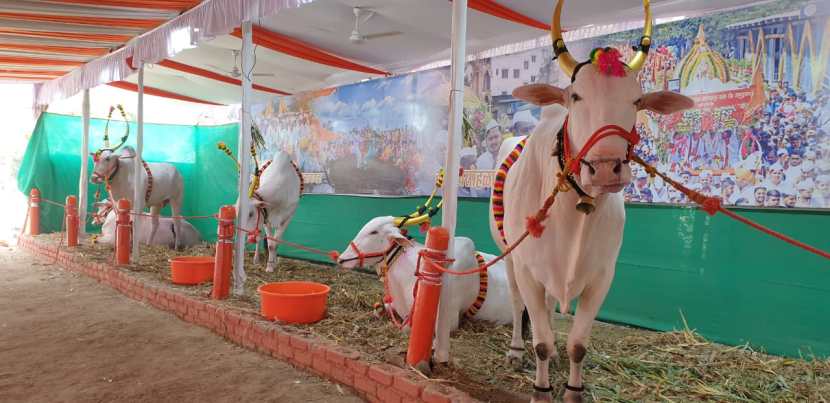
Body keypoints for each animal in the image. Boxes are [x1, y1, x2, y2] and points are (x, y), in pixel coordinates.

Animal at [90, 104, 186, 249]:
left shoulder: (138, 206)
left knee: (177, 221)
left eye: (107, 158)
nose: (94, 178)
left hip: (176, 200)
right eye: (95, 159)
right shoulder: (119, 206)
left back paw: (176, 246)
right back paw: (149, 244)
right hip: (156, 204)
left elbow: (134, 226)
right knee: (155, 224)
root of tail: (177, 172)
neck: (121, 176)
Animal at [490, 1, 700, 402]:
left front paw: (573, 389)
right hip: (509, 255)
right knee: (517, 302)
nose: (605, 169)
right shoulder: (528, 269)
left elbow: (577, 344)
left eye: (636, 100)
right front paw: (541, 388)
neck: (575, 213)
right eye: (575, 96)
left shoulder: (601, 277)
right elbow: (539, 339)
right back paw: (515, 351)